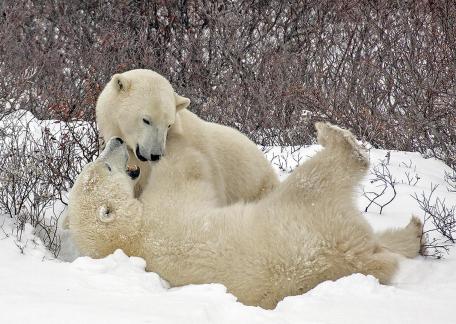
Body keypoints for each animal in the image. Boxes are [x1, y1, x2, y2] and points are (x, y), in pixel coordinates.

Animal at [67, 123, 420, 308]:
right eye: (106, 166)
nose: (116, 140)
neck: (132, 239)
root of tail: (349, 258)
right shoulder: (165, 212)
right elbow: (188, 170)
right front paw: (176, 134)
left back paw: (414, 233)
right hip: (303, 214)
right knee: (320, 178)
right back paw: (335, 138)